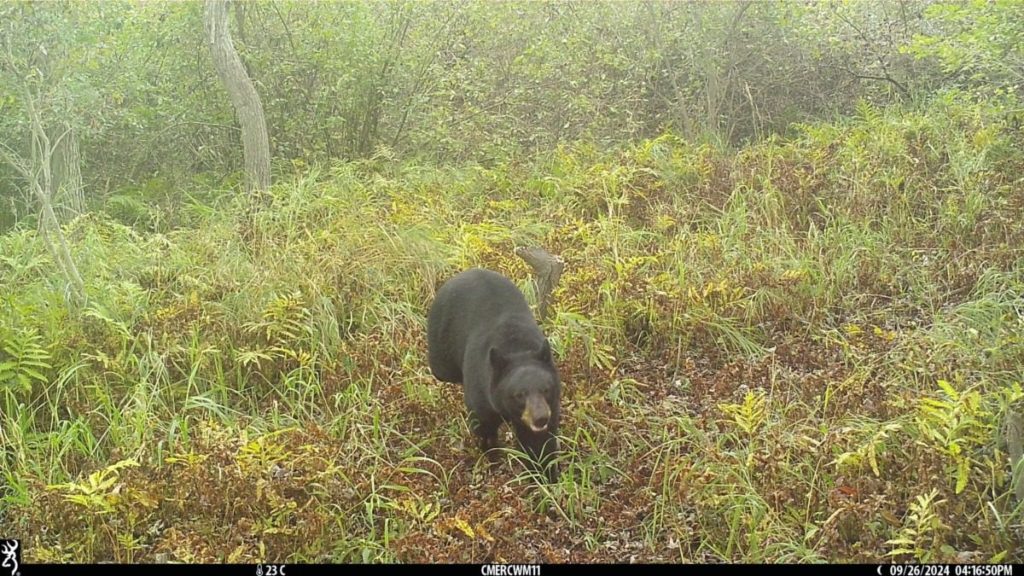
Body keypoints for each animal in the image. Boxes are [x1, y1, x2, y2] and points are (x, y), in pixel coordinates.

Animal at [427, 268, 562, 482]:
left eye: (546, 389)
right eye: (519, 394)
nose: (540, 418)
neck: (516, 347)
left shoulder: (551, 406)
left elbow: (539, 443)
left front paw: (546, 476)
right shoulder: (481, 392)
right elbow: (483, 427)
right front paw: (492, 456)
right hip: (441, 344)